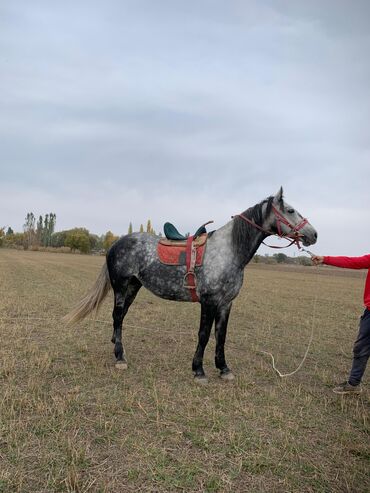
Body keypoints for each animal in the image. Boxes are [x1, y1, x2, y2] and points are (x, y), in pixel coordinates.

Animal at [64, 186, 318, 382]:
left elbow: (221, 335)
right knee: (117, 316)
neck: (228, 252)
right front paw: (198, 370)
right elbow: (204, 334)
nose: (313, 234)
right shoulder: (209, 302)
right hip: (120, 286)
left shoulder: (226, 304)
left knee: (121, 317)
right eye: (290, 210)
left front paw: (223, 368)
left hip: (134, 287)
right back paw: (120, 357)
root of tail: (117, 243)